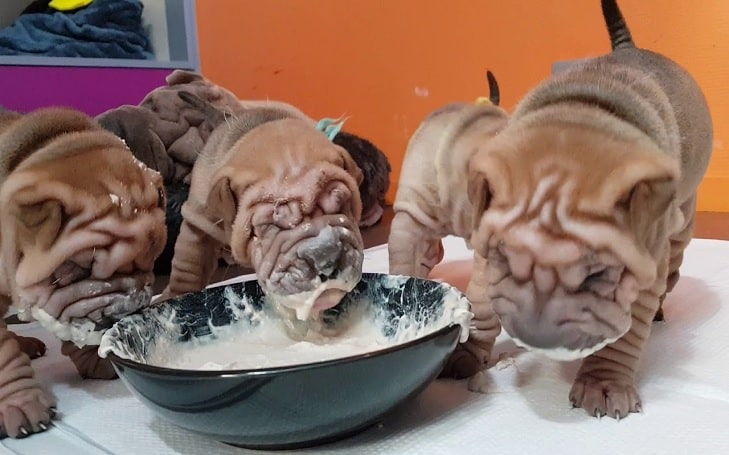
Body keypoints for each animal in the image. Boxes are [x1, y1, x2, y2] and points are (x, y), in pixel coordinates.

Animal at [161, 93, 362, 324]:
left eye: (342, 203)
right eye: (268, 226)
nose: (325, 257)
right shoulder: (199, 219)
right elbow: (189, 262)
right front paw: (178, 296)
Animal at [460, 0, 712, 420]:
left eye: (597, 277)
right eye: (506, 260)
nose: (536, 338)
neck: (585, 112)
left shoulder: (642, 266)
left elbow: (625, 332)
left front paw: (604, 383)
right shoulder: (484, 243)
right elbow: (480, 302)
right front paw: (464, 352)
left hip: (681, 220)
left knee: (673, 266)